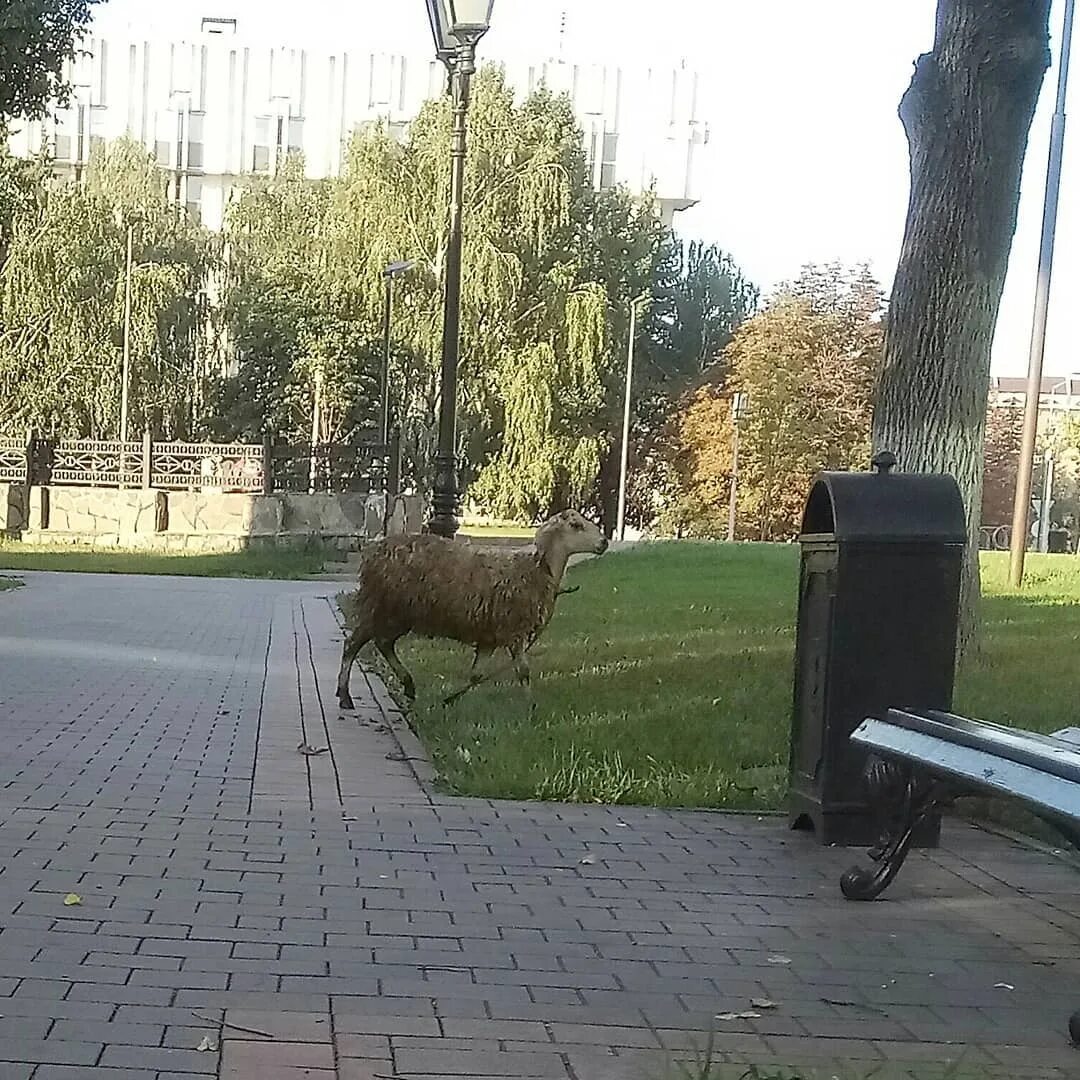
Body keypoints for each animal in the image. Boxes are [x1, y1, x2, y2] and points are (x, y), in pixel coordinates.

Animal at [335, 509, 608, 710]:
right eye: (576, 525)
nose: (604, 542)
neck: (536, 571)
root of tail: (372, 553)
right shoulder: (514, 630)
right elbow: (523, 672)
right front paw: (531, 708)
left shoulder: (489, 636)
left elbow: (476, 675)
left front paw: (452, 703)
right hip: (379, 606)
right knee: (353, 644)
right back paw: (345, 695)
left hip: (398, 615)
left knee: (383, 644)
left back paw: (408, 685)